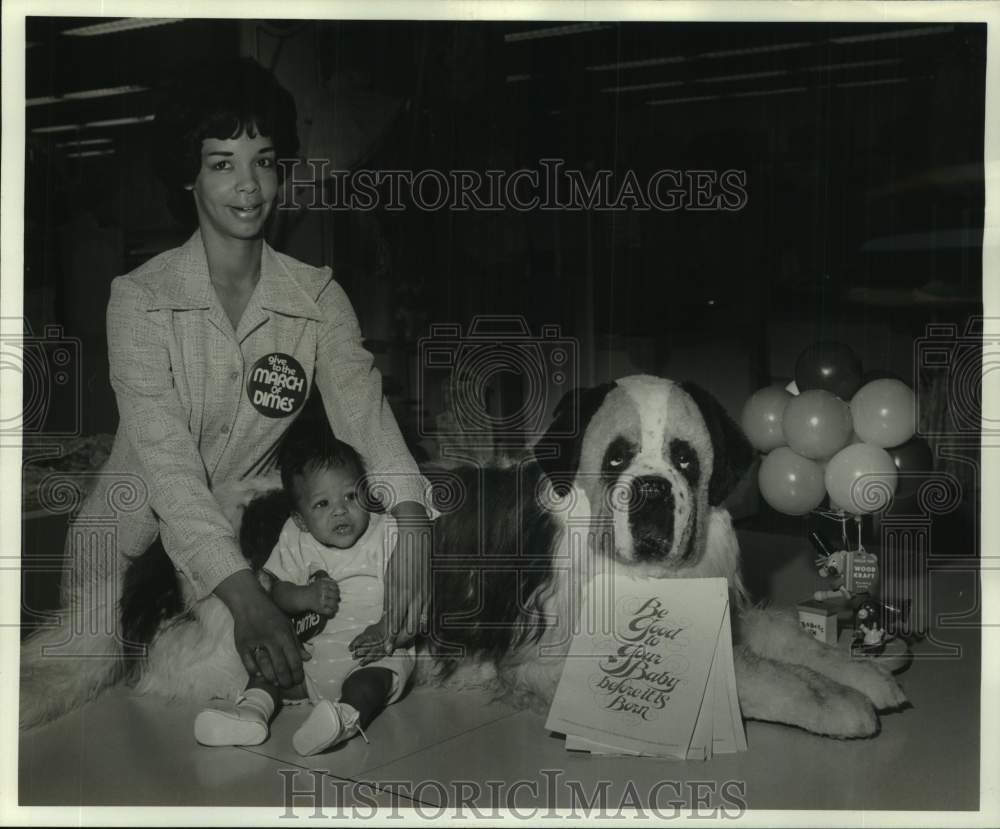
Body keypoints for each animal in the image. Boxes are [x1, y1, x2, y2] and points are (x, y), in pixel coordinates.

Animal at [19, 376, 908, 736]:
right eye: (619, 457)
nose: (654, 493)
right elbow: (761, 676)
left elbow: (777, 637)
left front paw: (862, 669)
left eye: (686, 460)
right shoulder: (562, 659)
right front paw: (842, 702)